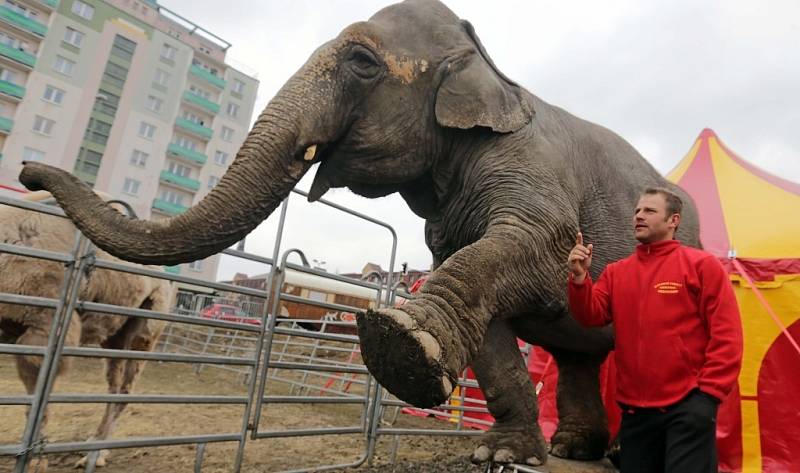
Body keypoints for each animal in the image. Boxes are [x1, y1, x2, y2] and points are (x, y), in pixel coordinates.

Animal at [0, 189, 174, 468]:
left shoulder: (44, 325)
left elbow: (37, 394)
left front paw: (35, 461)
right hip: (116, 335)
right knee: (114, 382)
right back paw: (94, 448)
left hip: (149, 324)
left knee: (125, 388)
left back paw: (96, 454)